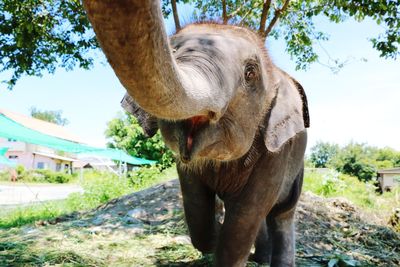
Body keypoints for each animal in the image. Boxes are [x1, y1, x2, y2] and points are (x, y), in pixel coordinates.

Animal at [83, 0, 310, 267]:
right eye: (172, 49)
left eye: (250, 73)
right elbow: (197, 207)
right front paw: (216, 230)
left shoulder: (277, 153)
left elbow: (246, 216)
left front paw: (225, 237)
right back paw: (259, 258)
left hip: (297, 170)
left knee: (281, 215)